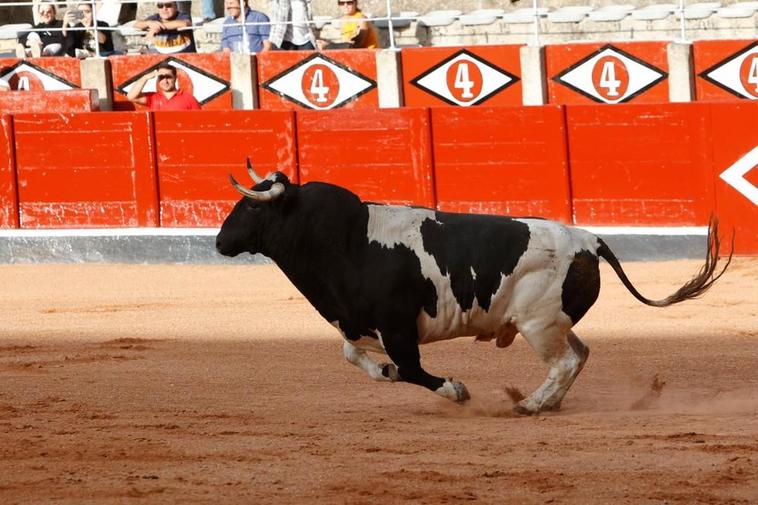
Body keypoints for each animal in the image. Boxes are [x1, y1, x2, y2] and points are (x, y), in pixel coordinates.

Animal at [215, 160, 732, 414]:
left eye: (253, 207)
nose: (220, 242)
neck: (346, 241)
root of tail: (589, 239)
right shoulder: (359, 324)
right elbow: (361, 359)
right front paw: (384, 373)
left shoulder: (397, 327)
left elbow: (412, 369)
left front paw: (458, 391)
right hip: (553, 322)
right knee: (579, 354)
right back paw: (547, 402)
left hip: (539, 324)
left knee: (564, 361)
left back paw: (529, 405)